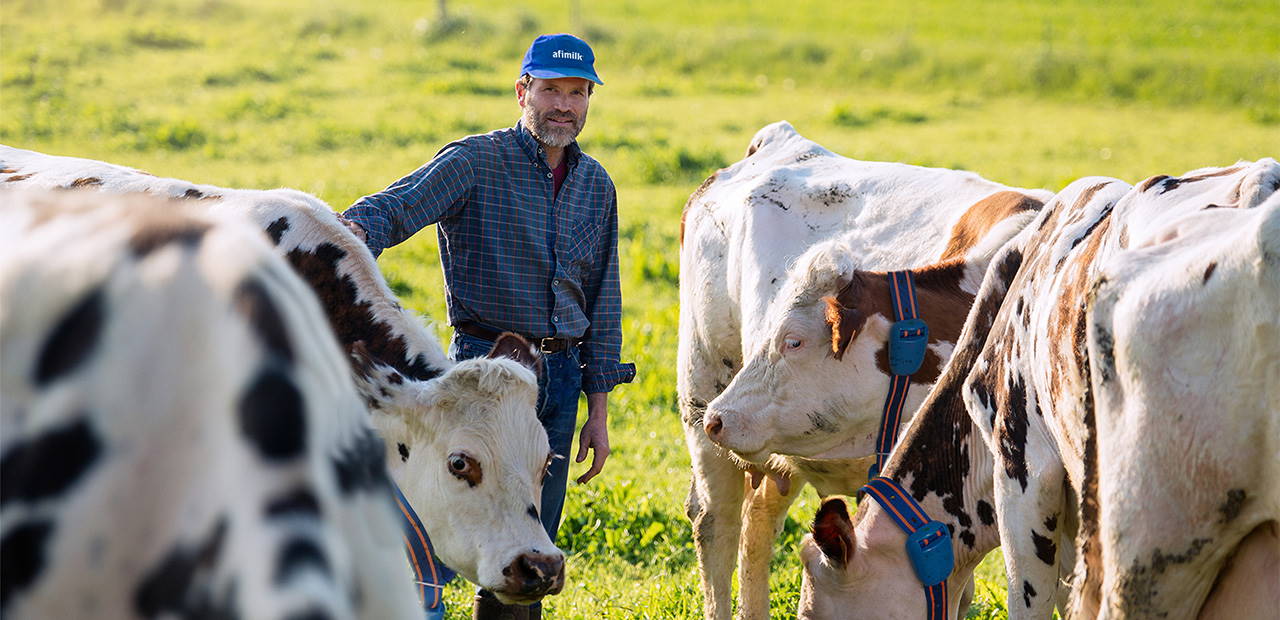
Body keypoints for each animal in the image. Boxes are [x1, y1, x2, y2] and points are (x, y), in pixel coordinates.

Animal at [680, 122, 1049, 620]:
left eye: (792, 340)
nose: (721, 417)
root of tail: (777, 141)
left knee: (758, 517)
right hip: (702, 385)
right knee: (715, 523)